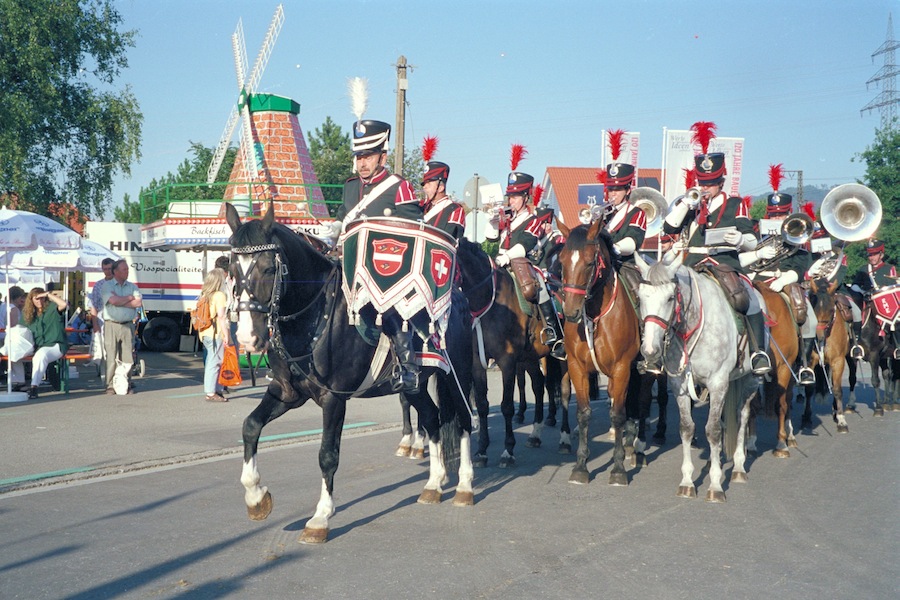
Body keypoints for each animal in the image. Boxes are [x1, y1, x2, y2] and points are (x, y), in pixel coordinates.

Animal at [225, 203, 474, 544]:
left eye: (268, 269)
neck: (314, 317)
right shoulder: (286, 392)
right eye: (232, 268)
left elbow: (327, 455)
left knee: (464, 420)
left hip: (457, 373)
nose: (248, 338)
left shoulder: (334, 399)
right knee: (432, 418)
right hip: (415, 387)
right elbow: (250, 426)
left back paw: (464, 486)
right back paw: (433, 485)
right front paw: (255, 497)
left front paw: (320, 518)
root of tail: (458, 299)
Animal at [632, 253, 760, 502]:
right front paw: (687, 481)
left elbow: (713, 430)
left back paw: (738, 466)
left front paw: (715, 485)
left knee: (742, 415)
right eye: (640, 298)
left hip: (750, 379)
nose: (650, 350)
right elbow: (687, 427)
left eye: (670, 297)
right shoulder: (680, 385)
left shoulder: (718, 382)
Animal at [800, 278, 852, 434]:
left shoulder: (838, 361)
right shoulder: (811, 362)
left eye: (830, 310)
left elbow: (837, 389)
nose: (818, 336)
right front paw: (806, 417)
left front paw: (841, 420)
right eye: (813, 309)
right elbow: (809, 389)